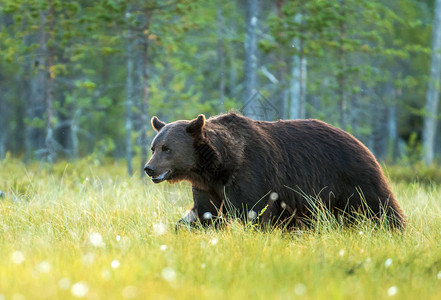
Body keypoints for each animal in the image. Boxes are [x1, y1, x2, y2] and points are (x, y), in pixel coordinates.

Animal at [144, 111, 406, 229]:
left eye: (167, 148)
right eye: (153, 147)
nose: (149, 168)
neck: (216, 167)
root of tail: (360, 142)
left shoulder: (251, 174)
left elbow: (252, 211)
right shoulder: (208, 187)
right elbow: (205, 213)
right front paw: (183, 228)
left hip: (352, 178)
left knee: (379, 206)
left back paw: (395, 229)